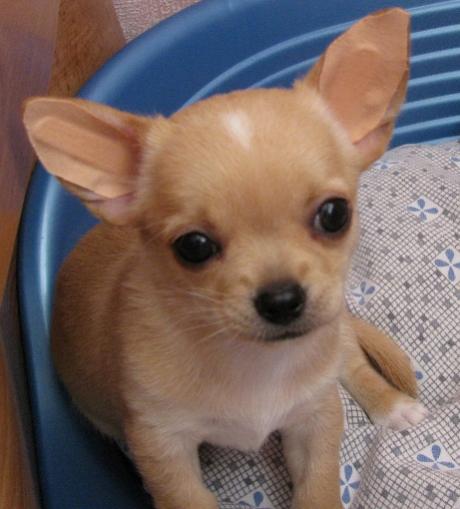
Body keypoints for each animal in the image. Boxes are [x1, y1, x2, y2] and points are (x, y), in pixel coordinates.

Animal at [24, 8, 427, 509]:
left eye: (335, 214)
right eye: (193, 246)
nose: (282, 300)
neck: (252, 361)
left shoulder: (314, 419)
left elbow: (318, 486)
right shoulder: (163, 447)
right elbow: (188, 497)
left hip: (333, 339)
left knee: (350, 363)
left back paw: (394, 406)